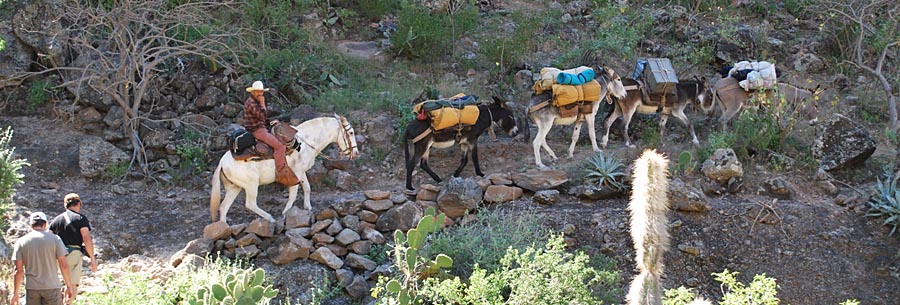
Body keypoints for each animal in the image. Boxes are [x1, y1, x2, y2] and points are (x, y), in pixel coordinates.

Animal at [210, 115, 358, 222]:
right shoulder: (296, 173)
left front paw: (308, 208)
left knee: (223, 207)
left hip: (235, 187)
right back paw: (270, 218)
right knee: (250, 204)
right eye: (350, 132)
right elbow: (293, 195)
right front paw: (285, 213)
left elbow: (307, 188)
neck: (305, 143)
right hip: (251, 185)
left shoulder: (301, 172)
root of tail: (222, 162)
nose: (356, 153)